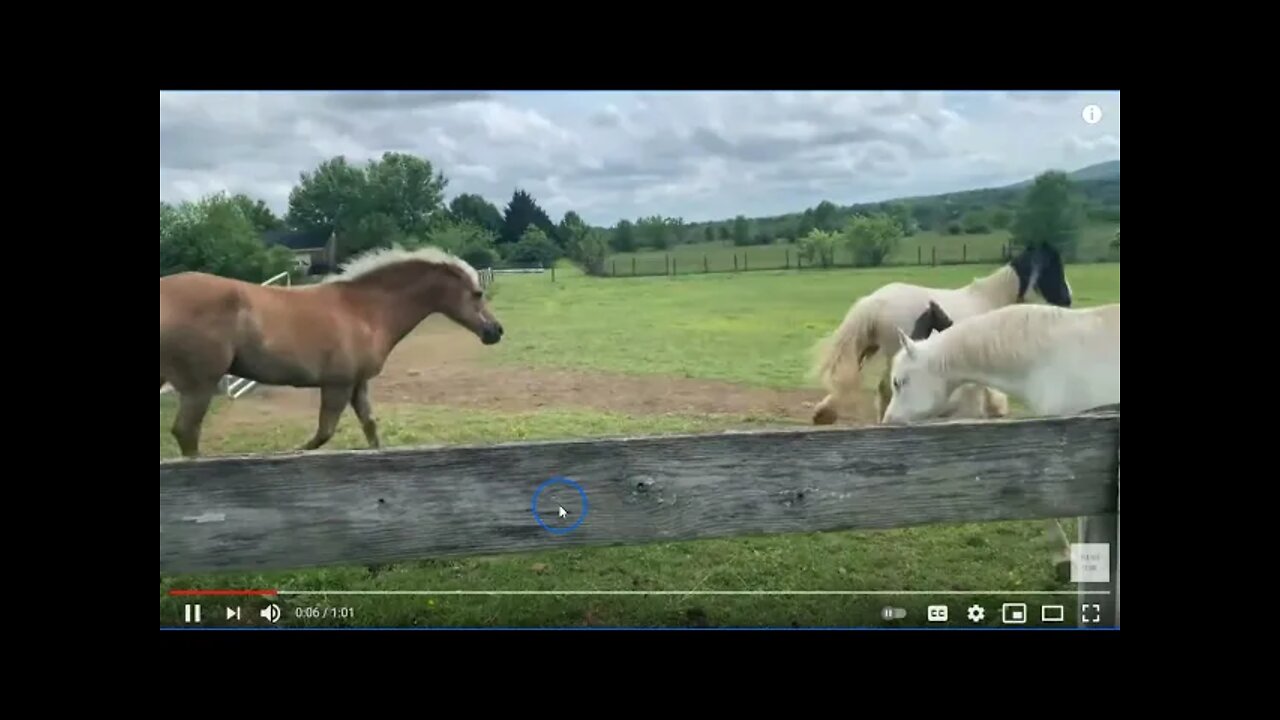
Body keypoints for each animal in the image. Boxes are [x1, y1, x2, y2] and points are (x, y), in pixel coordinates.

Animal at [157, 243, 501, 456]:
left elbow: (370, 427)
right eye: (476, 293)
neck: (364, 310)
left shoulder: (358, 384)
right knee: (186, 433)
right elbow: (323, 433)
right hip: (199, 385)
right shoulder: (337, 385)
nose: (495, 332)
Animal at [808, 240, 1070, 422]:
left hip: (870, 347)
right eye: (1053, 268)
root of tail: (874, 302)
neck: (988, 298)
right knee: (884, 388)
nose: (1068, 299)